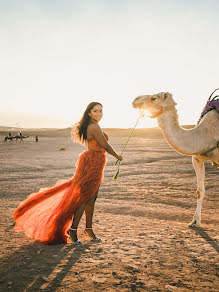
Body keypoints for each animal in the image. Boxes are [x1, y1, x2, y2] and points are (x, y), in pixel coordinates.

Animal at [132, 91, 219, 228]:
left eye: (154, 98)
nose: (135, 99)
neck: (206, 134)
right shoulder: (197, 158)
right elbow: (200, 191)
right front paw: (195, 221)